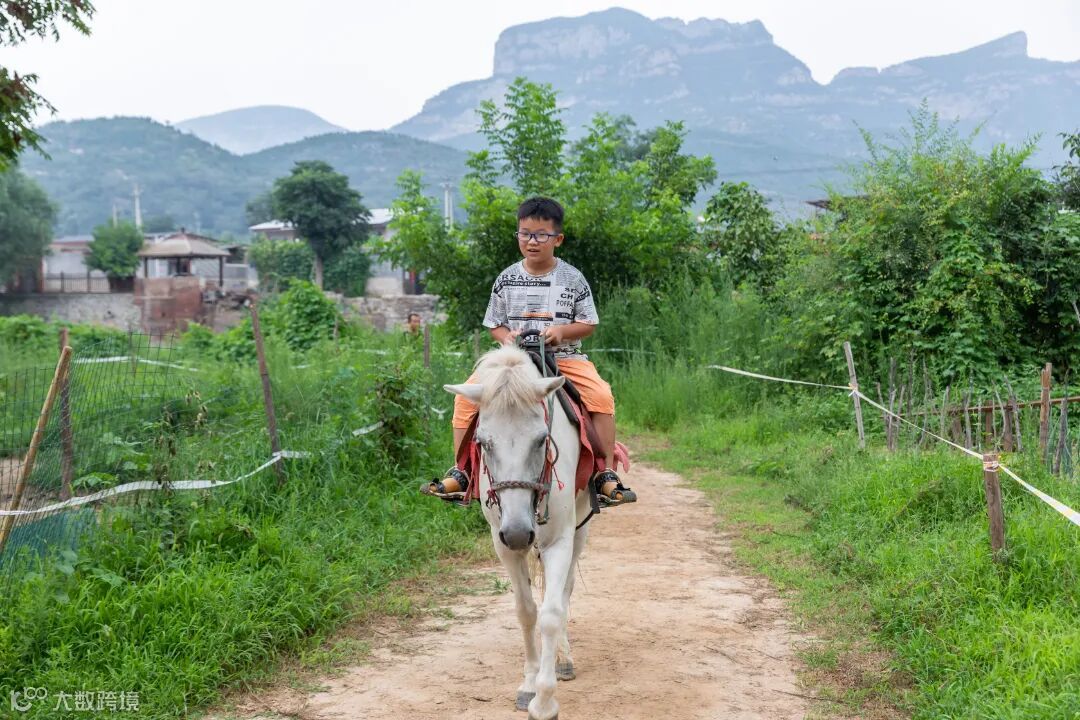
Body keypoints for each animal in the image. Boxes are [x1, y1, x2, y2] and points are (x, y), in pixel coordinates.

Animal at [445, 344, 591, 720]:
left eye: (541, 440)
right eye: (482, 442)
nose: (517, 532)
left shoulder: (559, 541)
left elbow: (552, 614)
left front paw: (544, 700)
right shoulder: (503, 547)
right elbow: (526, 612)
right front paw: (528, 686)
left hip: (582, 528)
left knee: (565, 591)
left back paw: (563, 659)